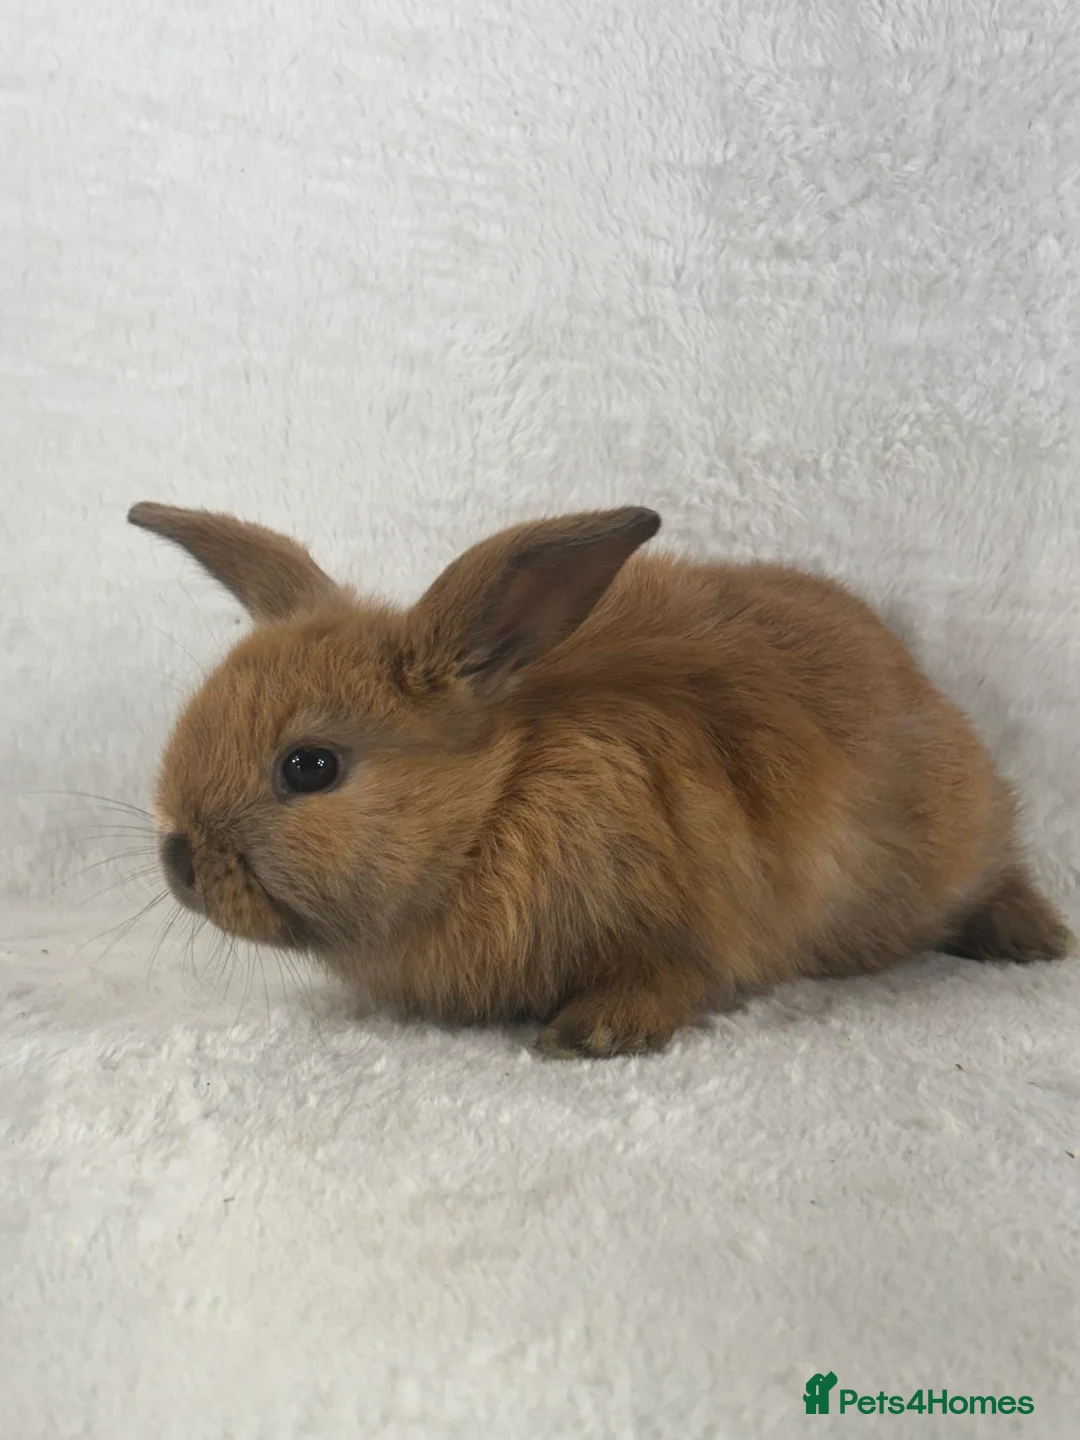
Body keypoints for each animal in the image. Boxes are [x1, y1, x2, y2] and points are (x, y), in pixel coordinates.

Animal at [128, 501, 1073, 1058]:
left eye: (310, 766)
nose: (178, 860)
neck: (497, 804)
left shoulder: (682, 923)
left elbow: (670, 978)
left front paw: (590, 1033)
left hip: (952, 845)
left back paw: (1034, 939)